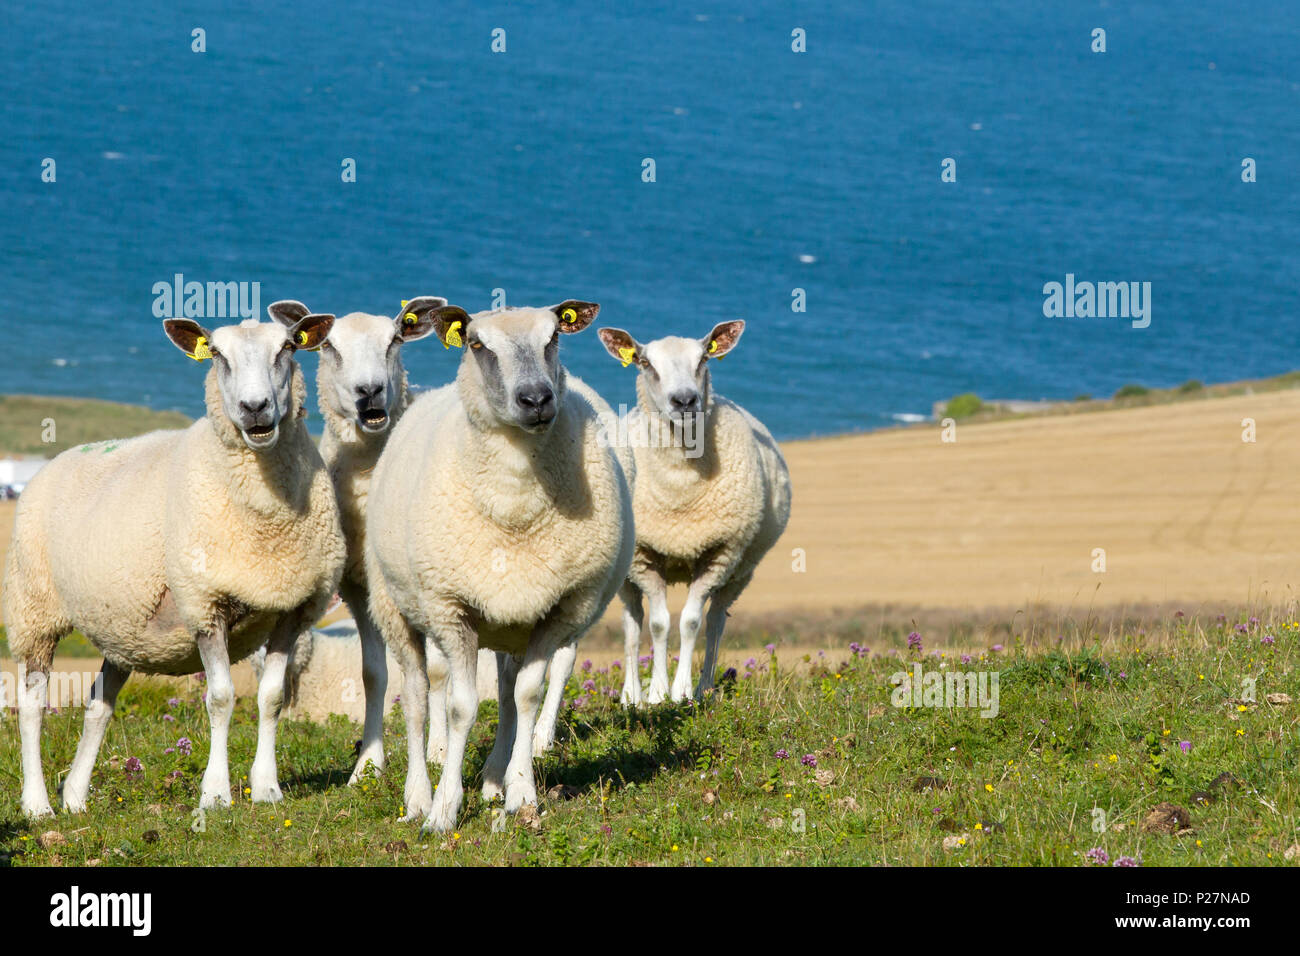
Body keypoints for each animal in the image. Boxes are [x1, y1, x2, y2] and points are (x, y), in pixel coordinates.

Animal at [2, 312, 346, 818]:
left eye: (287, 348)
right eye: (218, 355)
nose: (255, 408)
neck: (268, 523)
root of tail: (60, 458)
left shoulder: (293, 605)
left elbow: (271, 698)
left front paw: (267, 788)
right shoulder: (204, 603)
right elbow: (221, 698)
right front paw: (216, 794)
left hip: (120, 626)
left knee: (99, 705)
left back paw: (76, 796)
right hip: (35, 607)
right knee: (31, 706)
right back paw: (37, 803)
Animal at [265, 296, 447, 783]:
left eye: (396, 340)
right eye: (329, 346)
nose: (370, 390)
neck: (369, 470)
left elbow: (442, 673)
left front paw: (441, 755)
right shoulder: (358, 588)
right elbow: (373, 674)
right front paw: (368, 765)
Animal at [364, 299, 635, 832]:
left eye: (554, 337)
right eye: (476, 344)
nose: (536, 399)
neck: (515, 500)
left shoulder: (560, 609)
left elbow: (527, 696)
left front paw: (521, 794)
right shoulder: (451, 609)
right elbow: (460, 708)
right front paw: (444, 810)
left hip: (513, 619)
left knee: (508, 691)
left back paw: (493, 780)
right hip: (395, 607)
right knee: (417, 698)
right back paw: (417, 797)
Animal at [595, 321, 791, 703]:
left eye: (703, 359)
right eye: (645, 363)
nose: (684, 400)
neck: (679, 488)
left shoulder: (720, 553)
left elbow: (690, 621)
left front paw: (682, 691)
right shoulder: (643, 555)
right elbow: (657, 624)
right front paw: (656, 694)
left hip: (741, 570)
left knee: (716, 621)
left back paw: (705, 688)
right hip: (625, 571)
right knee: (631, 621)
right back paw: (631, 695)